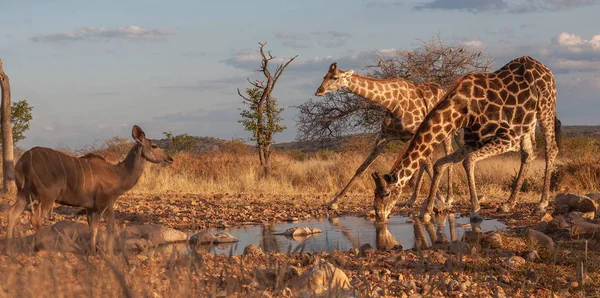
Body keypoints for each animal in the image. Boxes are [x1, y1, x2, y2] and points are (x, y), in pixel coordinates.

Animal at [6, 125, 173, 251]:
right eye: (154, 145)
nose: (170, 158)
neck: (118, 175)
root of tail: (22, 161)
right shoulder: (106, 204)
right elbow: (112, 229)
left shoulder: (91, 207)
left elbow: (93, 229)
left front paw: (92, 253)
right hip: (47, 196)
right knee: (35, 219)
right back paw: (46, 247)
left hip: (25, 194)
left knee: (13, 213)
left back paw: (8, 247)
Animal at [314, 62, 454, 212]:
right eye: (324, 76)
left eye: (335, 77)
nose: (319, 91)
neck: (392, 102)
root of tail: (442, 90)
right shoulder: (383, 137)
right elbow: (362, 168)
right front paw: (334, 201)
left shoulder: (417, 133)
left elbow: (427, 165)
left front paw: (440, 198)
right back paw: (412, 200)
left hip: (446, 131)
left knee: (448, 154)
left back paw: (448, 198)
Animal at [372, 56, 560, 222]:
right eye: (375, 193)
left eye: (387, 193)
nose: (379, 216)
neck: (462, 111)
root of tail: (545, 68)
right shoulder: (473, 142)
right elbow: (439, 164)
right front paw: (426, 212)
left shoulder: (509, 137)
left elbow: (468, 161)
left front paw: (475, 212)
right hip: (527, 123)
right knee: (528, 153)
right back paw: (508, 204)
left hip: (545, 108)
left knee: (551, 148)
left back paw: (542, 204)